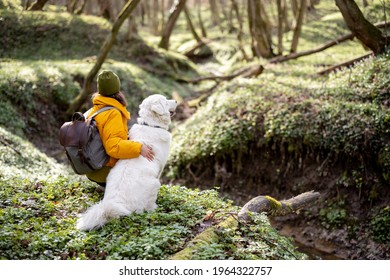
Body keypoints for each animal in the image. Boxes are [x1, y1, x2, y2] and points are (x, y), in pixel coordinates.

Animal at [77, 95, 177, 231]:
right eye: (166, 101)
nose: (176, 101)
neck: (151, 125)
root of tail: (112, 205)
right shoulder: (161, 168)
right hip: (154, 184)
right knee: (148, 208)